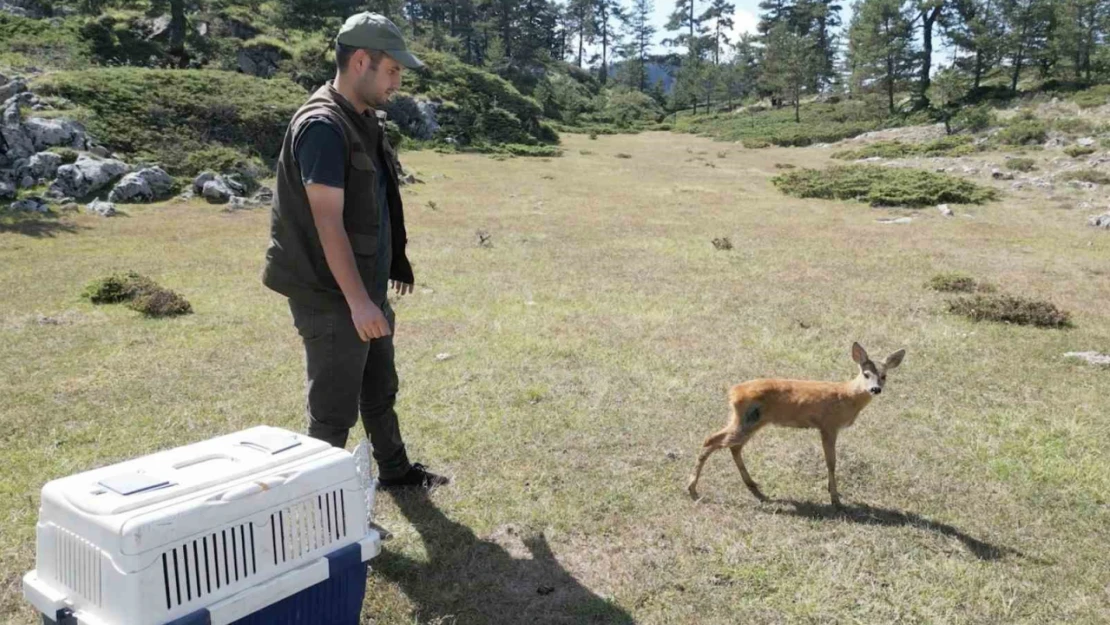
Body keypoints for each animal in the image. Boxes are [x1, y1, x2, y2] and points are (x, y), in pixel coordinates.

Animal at [683, 341, 910, 508]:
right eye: (866, 374)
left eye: (884, 376)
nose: (875, 389)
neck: (847, 396)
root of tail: (733, 392)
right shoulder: (828, 425)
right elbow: (831, 461)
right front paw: (835, 499)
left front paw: (832, 492)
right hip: (747, 419)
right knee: (711, 440)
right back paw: (692, 489)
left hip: (749, 421)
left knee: (733, 446)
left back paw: (756, 489)